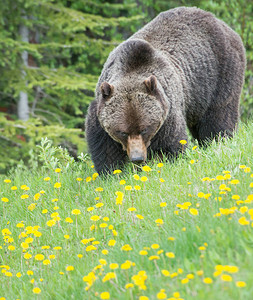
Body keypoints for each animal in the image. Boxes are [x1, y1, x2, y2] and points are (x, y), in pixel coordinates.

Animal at [85, 5, 245, 175]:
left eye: (144, 129)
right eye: (122, 132)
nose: (137, 158)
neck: (131, 70)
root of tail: (219, 21)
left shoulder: (167, 113)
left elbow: (171, 144)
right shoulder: (100, 115)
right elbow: (105, 149)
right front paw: (112, 172)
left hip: (219, 72)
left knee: (219, 114)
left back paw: (219, 141)